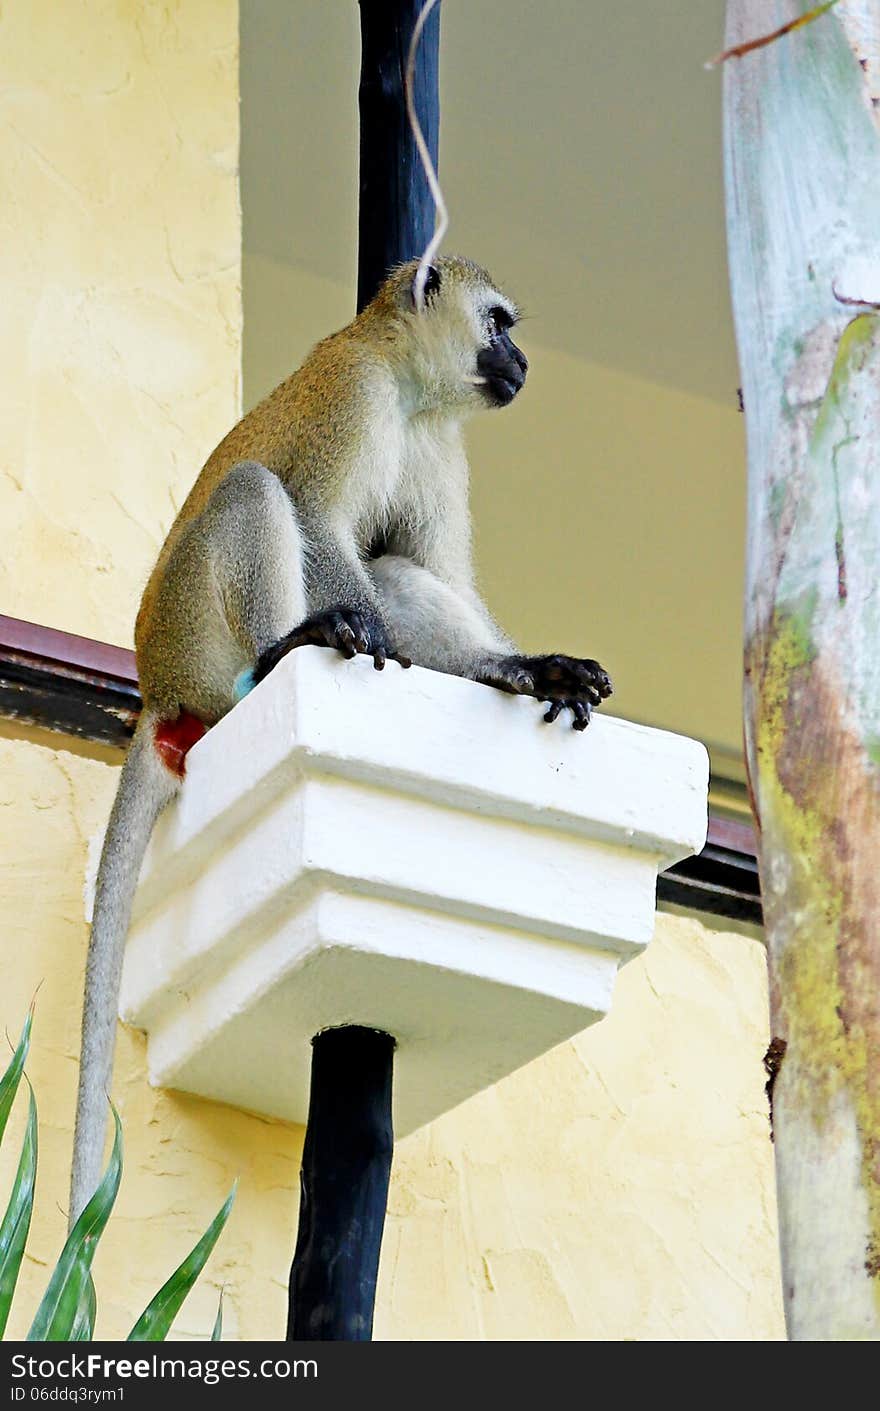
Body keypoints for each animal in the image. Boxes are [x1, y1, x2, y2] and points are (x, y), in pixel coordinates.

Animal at [70, 256, 612, 1224]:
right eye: (501, 323)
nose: (521, 361)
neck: (407, 386)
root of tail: (157, 690)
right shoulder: (353, 398)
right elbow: (320, 521)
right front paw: (363, 633)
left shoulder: (439, 443)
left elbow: (426, 570)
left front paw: (524, 668)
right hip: (195, 641)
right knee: (258, 494)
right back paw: (295, 645)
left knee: (388, 566)